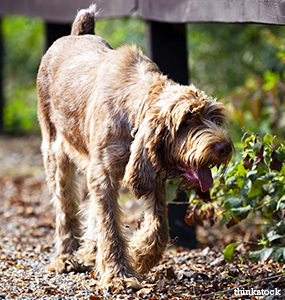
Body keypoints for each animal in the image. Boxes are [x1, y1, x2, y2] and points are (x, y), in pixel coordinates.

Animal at [36, 4, 233, 290]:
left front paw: (140, 255)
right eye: (186, 120)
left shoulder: (151, 173)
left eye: (214, 117)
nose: (225, 147)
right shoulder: (104, 175)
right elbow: (110, 227)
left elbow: (159, 227)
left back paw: (90, 251)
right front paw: (118, 274)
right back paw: (66, 257)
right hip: (55, 153)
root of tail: (75, 34)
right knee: (66, 208)